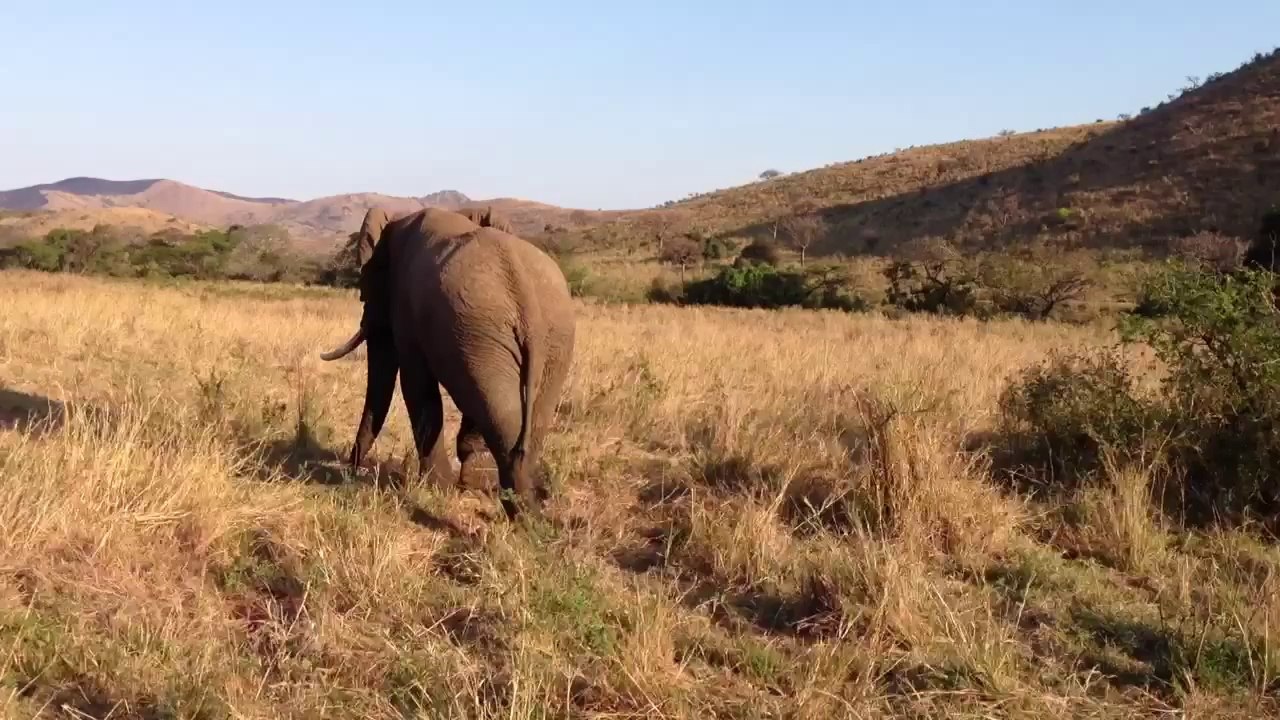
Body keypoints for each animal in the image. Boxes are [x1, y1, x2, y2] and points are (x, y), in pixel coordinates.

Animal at [319, 206, 576, 519]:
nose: (350, 468)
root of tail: (528, 302)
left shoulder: (406, 305)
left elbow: (416, 385)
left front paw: (434, 488)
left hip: (483, 330)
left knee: (499, 412)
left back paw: (517, 509)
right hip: (534, 338)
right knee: (520, 413)